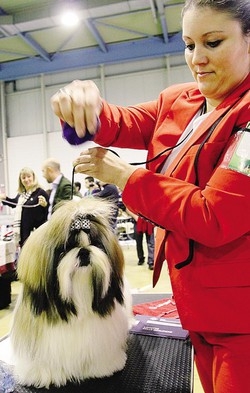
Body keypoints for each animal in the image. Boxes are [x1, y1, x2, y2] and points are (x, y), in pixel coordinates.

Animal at [10, 198, 133, 388]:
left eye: (95, 243)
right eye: (66, 248)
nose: (84, 251)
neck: (79, 300)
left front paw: (103, 366)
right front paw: (45, 373)